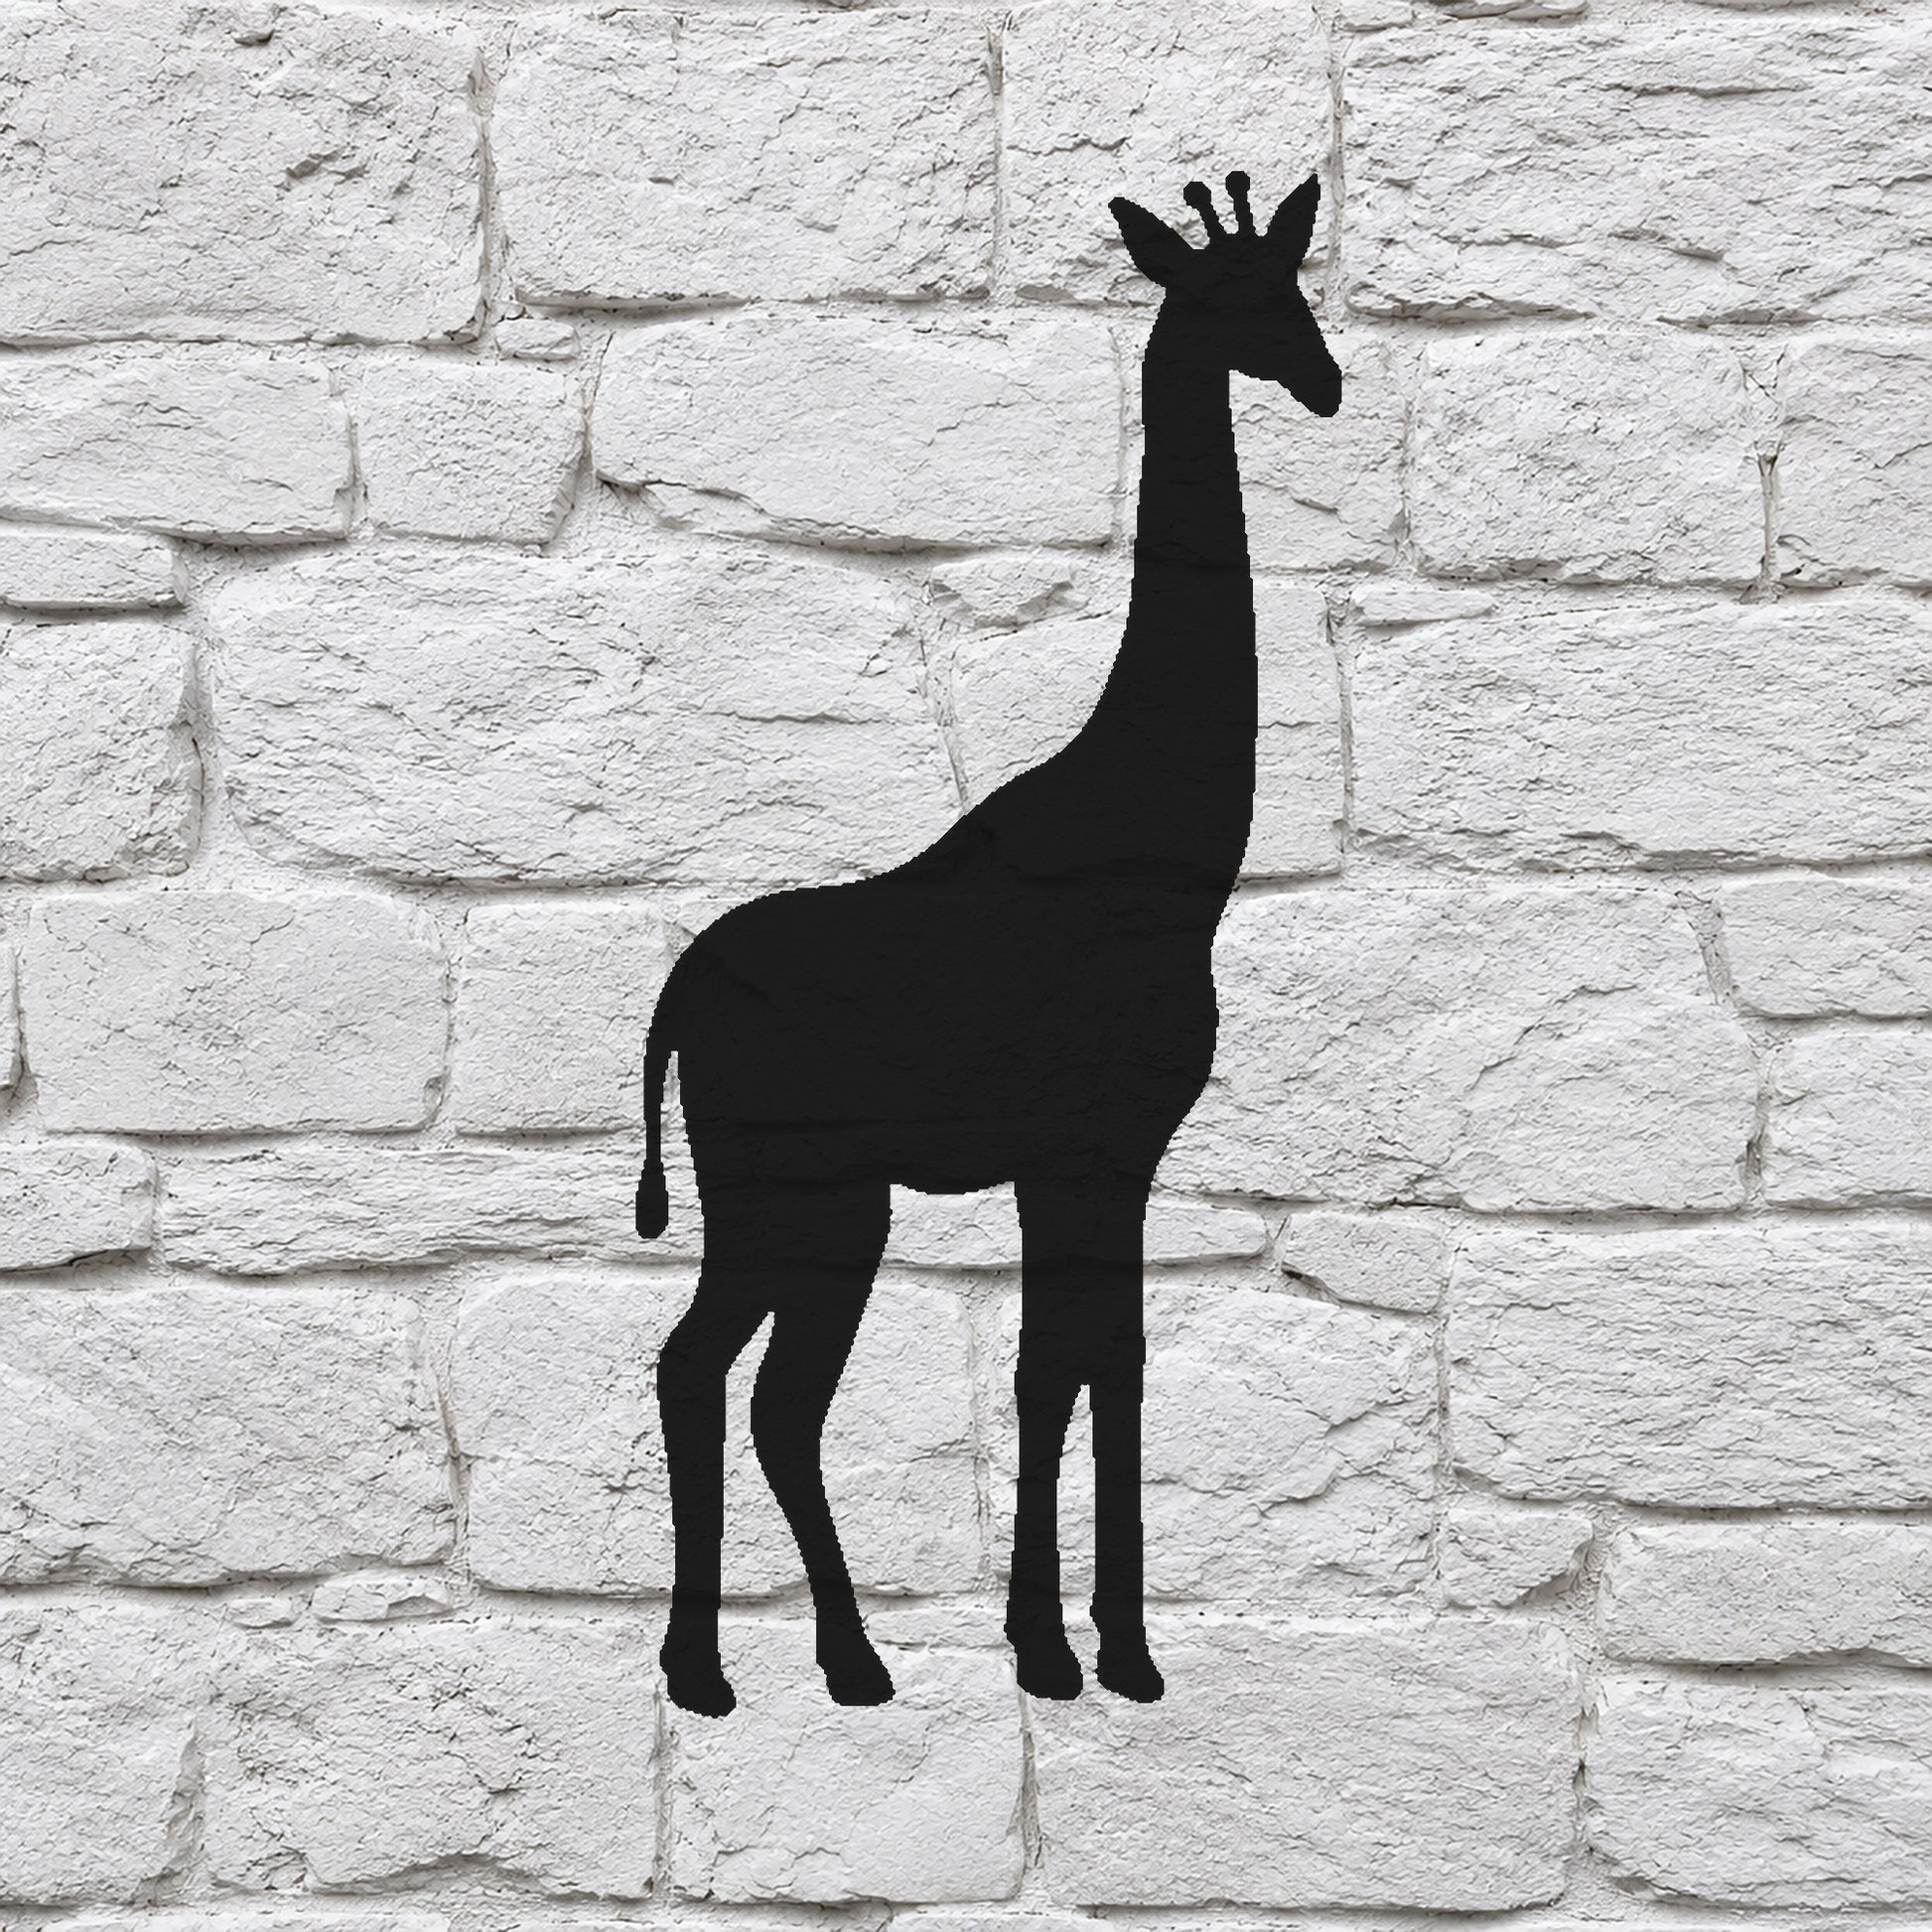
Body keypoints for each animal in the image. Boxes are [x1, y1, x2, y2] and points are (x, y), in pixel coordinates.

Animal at [637, 171, 1341, 1717]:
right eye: (1235, 298)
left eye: (1296, 284)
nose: (1326, 382)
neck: (1164, 852)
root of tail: (670, 1001)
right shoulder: (1092, 1145)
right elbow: (1069, 1366)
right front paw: (1084, 1648)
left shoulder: (1093, 1157)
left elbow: (1086, 1362)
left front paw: (1082, 1644)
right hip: (810, 1195)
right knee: (744, 1383)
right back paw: (799, 1665)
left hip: (792, 1198)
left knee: (718, 1374)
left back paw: (758, 1664)